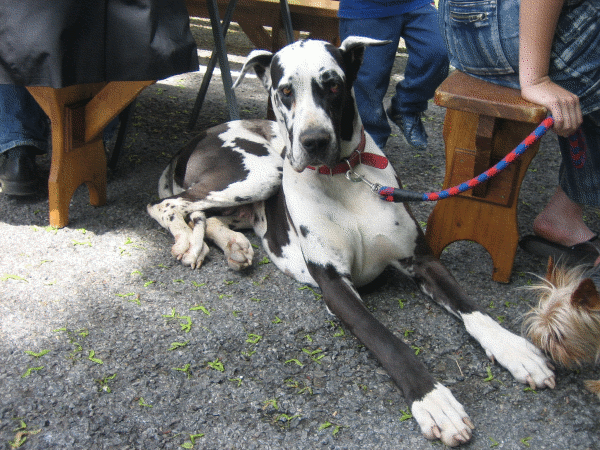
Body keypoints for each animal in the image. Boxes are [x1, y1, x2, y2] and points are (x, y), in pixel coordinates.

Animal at [148, 38, 556, 446]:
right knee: (166, 205)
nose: (314, 141)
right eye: (285, 91)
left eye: (332, 85)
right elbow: (387, 340)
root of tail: (197, 137)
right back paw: (188, 243)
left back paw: (232, 245)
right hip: (259, 172)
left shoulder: (423, 261)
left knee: (202, 213)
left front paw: (513, 348)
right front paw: (433, 400)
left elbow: (471, 308)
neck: (343, 178)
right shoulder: (335, 286)